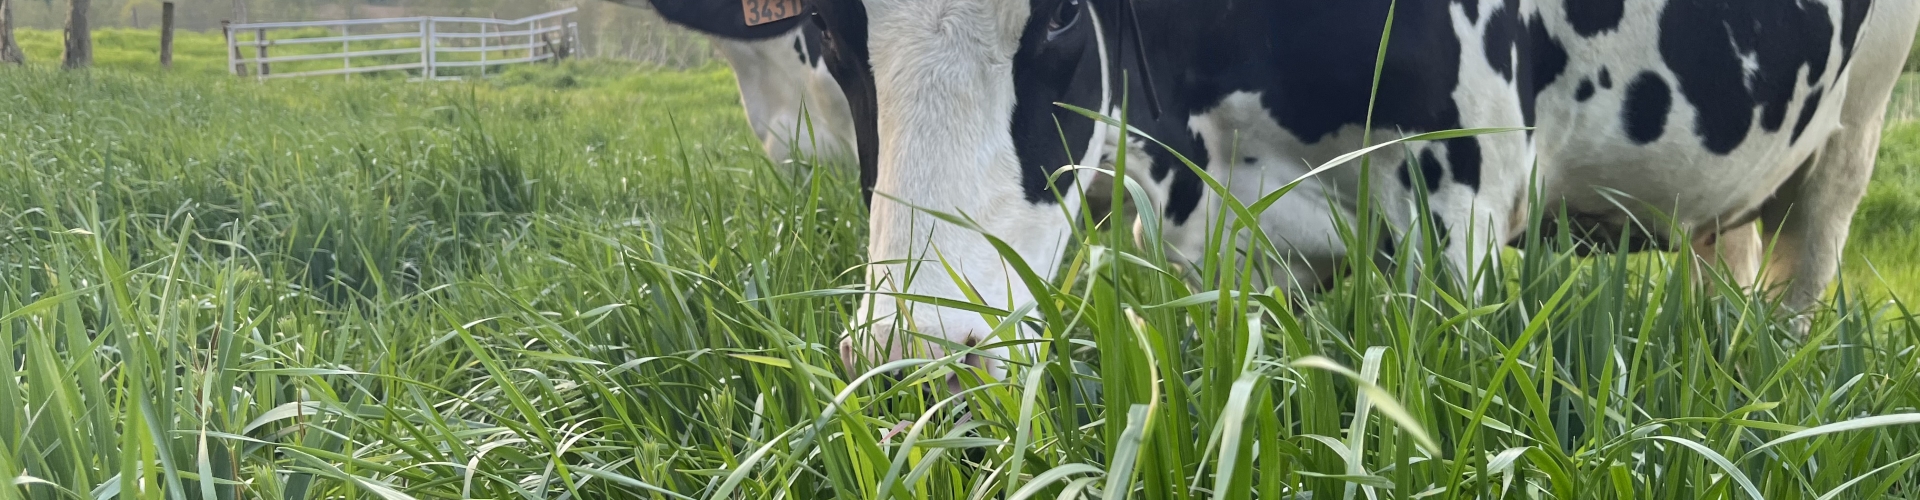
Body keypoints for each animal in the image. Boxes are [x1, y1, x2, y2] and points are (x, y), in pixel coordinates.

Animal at [651, 0, 1920, 379]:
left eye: (1058, 17)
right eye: (829, 24)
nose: (919, 355)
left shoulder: (1462, 198)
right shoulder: (1229, 227)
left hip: (1857, 117)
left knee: (1806, 266)